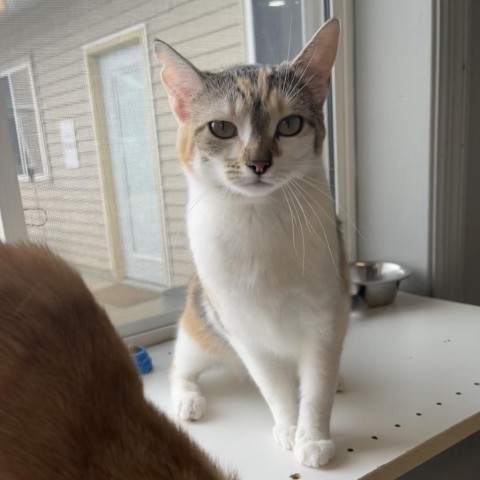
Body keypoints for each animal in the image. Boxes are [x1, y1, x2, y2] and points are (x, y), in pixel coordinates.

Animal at [156, 18, 350, 468]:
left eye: (290, 124)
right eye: (222, 128)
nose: (259, 163)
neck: (259, 219)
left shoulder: (327, 316)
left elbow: (315, 383)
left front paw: (313, 437)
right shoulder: (241, 328)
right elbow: (274, 386)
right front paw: (290, 428)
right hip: (200, 327)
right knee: (179, 366)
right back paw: (188, 399)